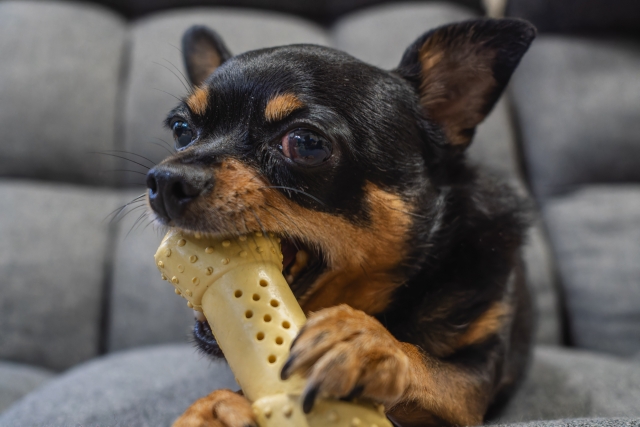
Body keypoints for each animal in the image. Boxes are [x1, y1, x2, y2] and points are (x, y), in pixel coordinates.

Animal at [145, 18, 536, 427]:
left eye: (306, 143)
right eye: (181, 130)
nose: (164, 181)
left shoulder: (474, 385)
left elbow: (428, 365)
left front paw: (371, 345)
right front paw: (214, 409)